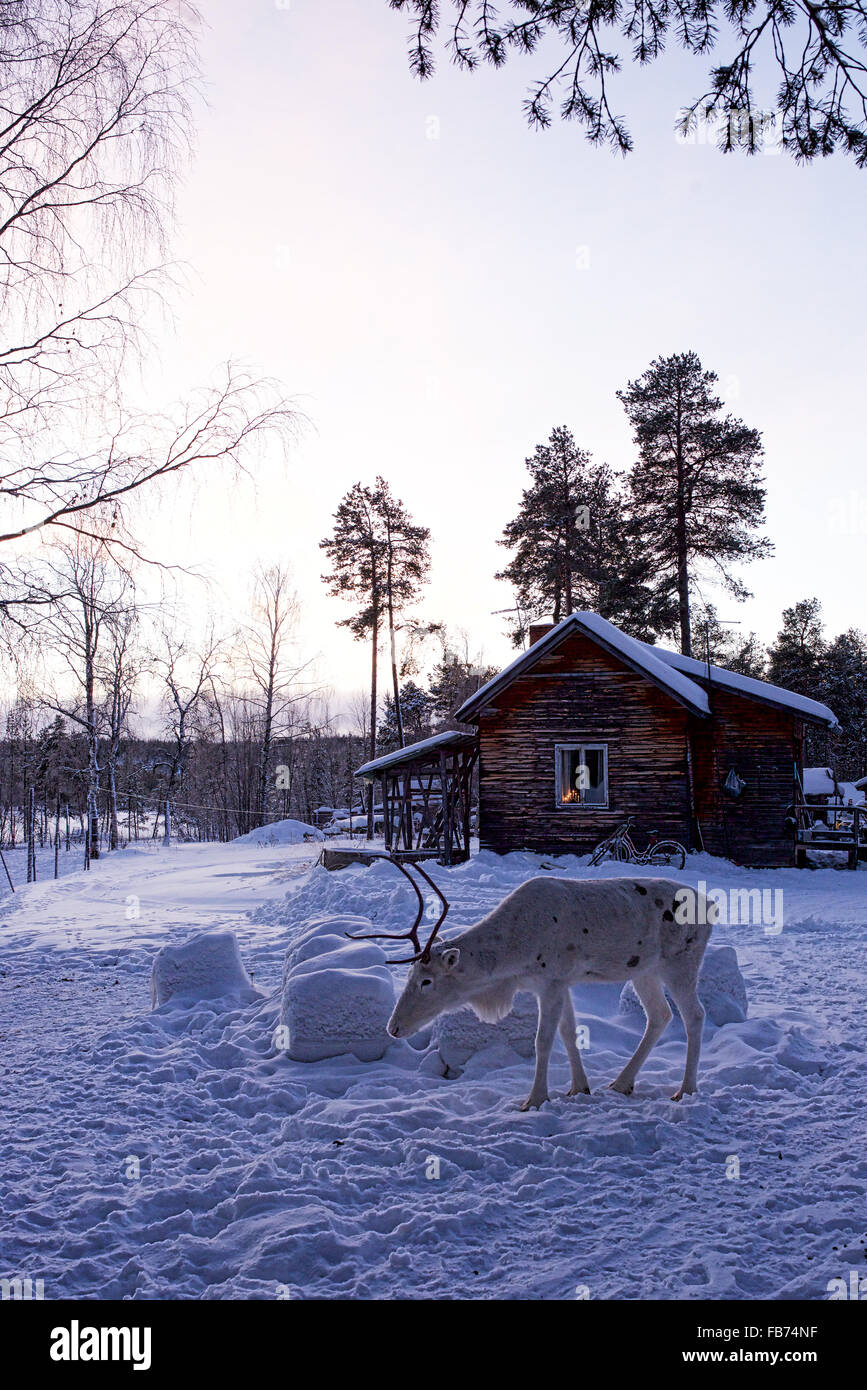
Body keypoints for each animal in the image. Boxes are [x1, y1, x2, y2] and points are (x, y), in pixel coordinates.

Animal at [348, 859, 715, 1110]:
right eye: (410, 975)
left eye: (426, 981)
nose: (394, 1027)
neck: (510, 959)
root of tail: (712, 906)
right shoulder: (560, 982)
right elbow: (569, 1033)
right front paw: (579, 1087)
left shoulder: (551, 980)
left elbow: (544, 1040)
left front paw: (535, 1099)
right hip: (644, 970)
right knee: (660, 1015)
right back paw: (622, 1083)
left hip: (681, 962)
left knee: (694, 1015)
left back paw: (686, 1089)